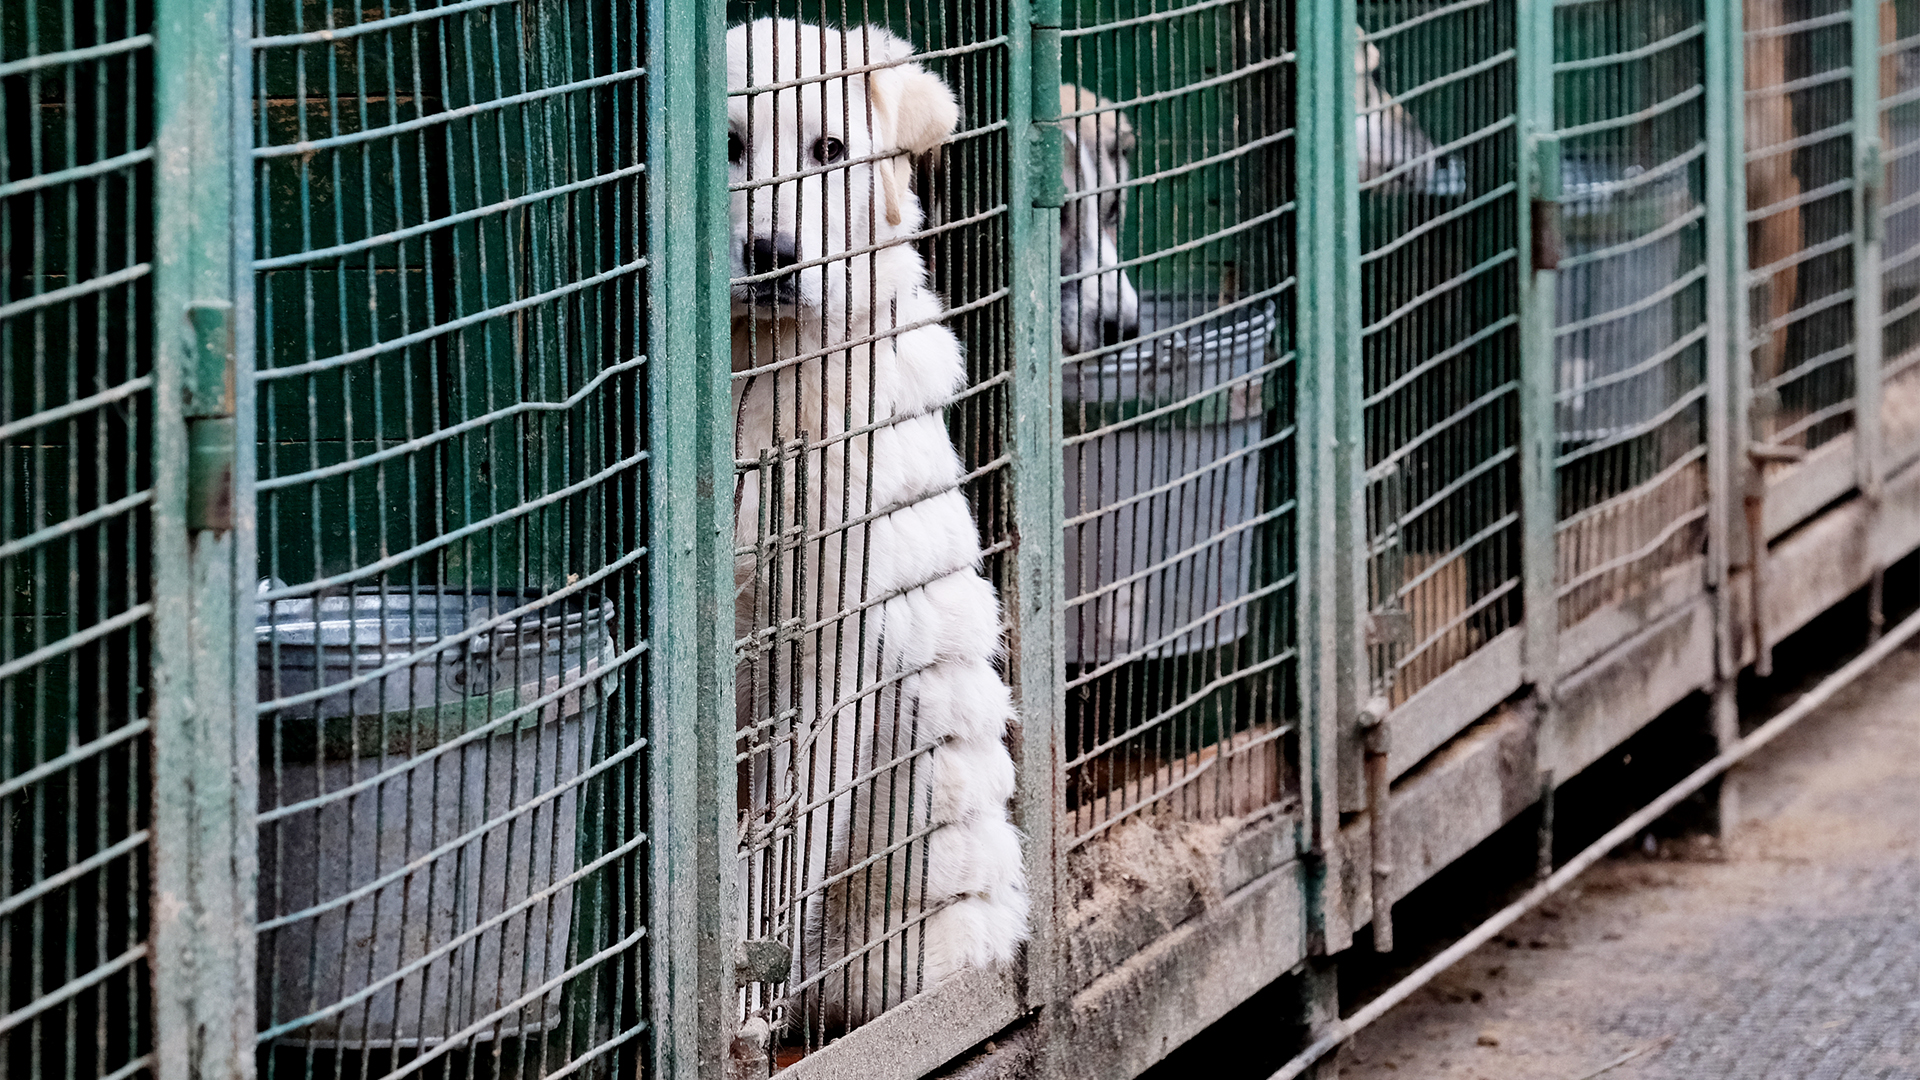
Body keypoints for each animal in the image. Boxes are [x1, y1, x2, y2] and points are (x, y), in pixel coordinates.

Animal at [725, 18, 1029, 1045]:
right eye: (728, 146)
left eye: (828, 150)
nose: (772, 253)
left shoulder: (835, 649)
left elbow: (776, 854)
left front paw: (742, 1011)